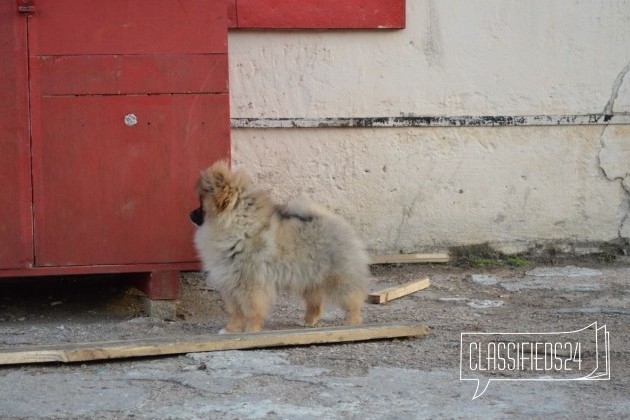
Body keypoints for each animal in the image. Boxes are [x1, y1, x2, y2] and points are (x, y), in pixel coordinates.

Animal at [190, 162, 372, 334]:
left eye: (201, 205)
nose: (189, 214)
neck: (237, 228)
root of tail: (334, 220)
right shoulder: (230, 284)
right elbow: (235, 312)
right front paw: (230, 330)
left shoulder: (250, 286)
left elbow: (251, 312)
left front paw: (250, 331)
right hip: (309, 279)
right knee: (316, 303)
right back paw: (308, 321)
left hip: (339, 279)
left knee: (352, 301)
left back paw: (352, 324)